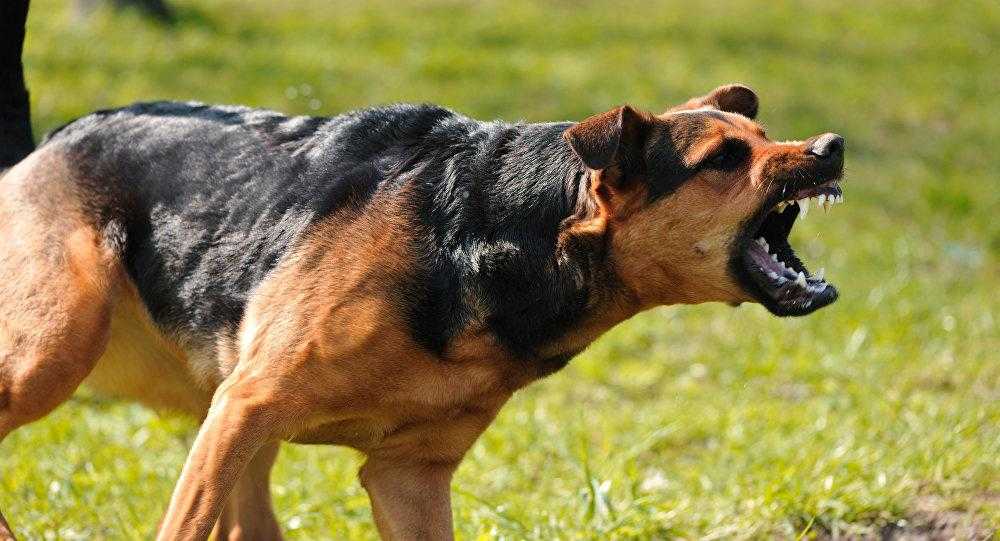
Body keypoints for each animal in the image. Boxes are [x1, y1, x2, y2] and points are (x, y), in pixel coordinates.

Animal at [0, 83, 844, 536]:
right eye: (724, 159)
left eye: (764, 134)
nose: (830, 146)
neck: (496, 232)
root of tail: (51, 139)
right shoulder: (251, 405)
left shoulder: (407, 475)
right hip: (59, 352)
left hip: (223, 415)